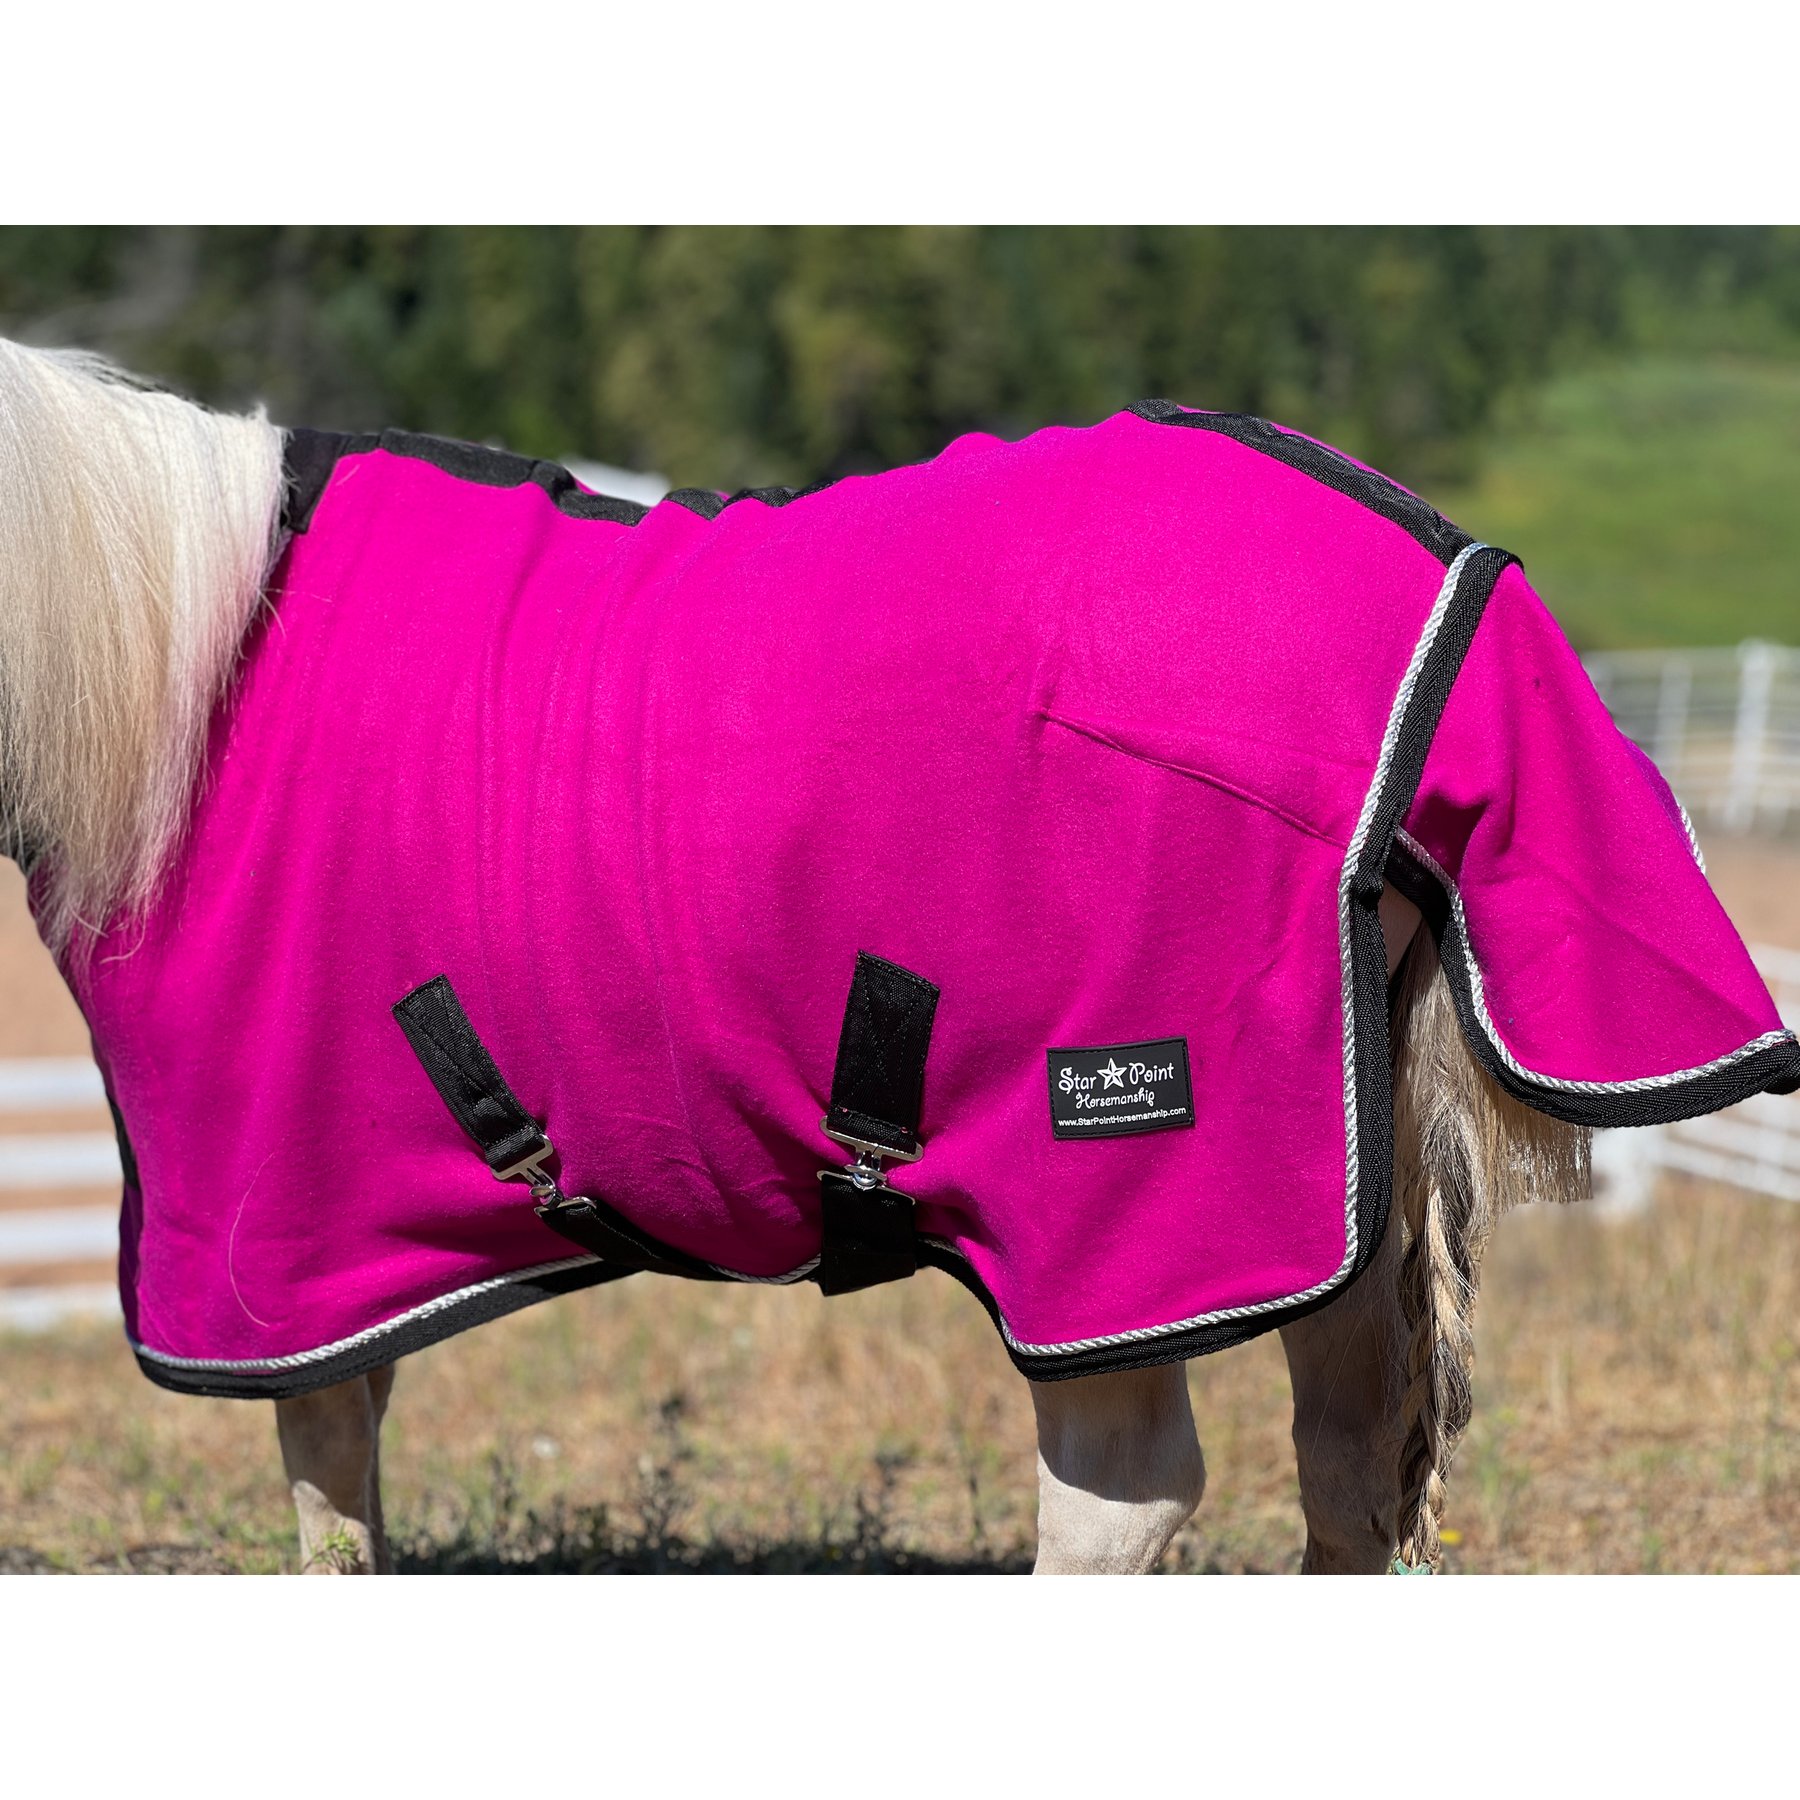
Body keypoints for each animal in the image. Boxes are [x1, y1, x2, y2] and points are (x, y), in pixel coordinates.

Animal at [3, 336, 1789, 1574]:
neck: (181, 671)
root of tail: (1441, 570)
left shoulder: (271, 1237)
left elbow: (328, 1502)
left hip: (1129, 1195)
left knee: (1123, 1493)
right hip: (1322, 1183)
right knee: (1345, 1474)